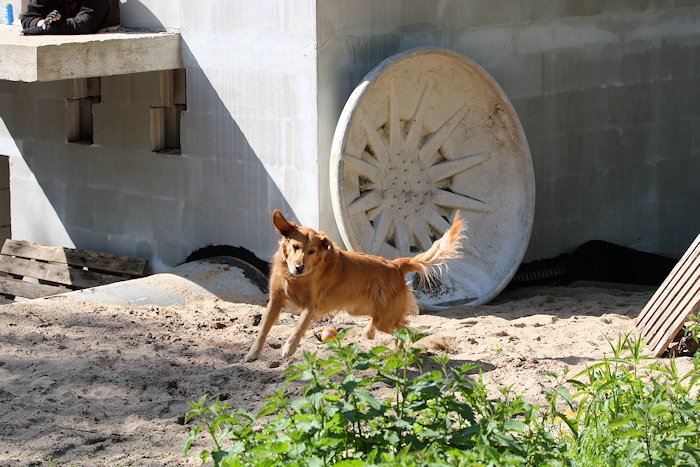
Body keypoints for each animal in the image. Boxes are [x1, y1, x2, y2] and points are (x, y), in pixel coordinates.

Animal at [244, 209, 465, 362]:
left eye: (312, 251)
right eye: (296, 247)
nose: (299, 267)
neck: (296, 279)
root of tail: (395, 265)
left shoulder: (310, 306)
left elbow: (298, 327)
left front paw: (288, 348)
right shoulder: (275, 299)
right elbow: (263, 328)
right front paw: (252, 353)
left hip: (384, 316)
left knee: (403, 327)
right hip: (363, 310)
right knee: (397, 326)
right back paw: (380, 338)